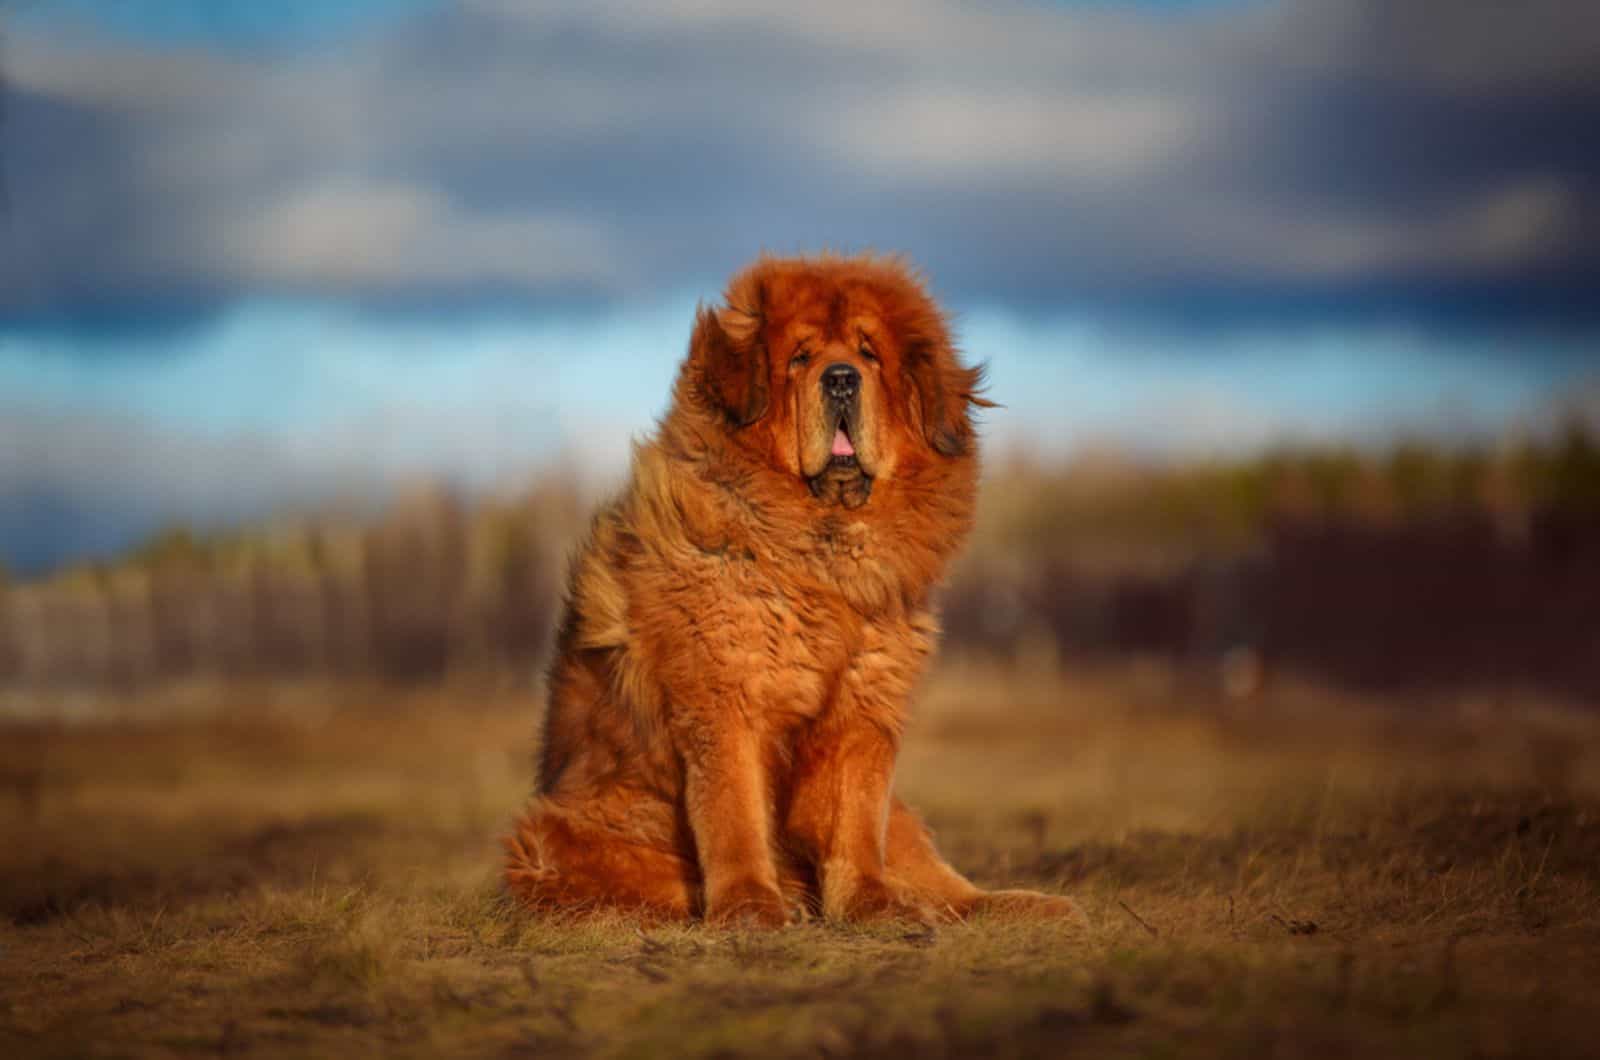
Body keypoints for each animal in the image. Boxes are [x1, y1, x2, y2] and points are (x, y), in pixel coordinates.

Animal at [505, 256, 1081, 928]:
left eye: (868, 354)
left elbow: (854, 821)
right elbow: (735, 816)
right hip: (558, 834)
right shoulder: (726, 702)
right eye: (801, 358)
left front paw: (871, 905)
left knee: (944, 883)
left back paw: (1025, 904)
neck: (820, 558)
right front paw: (751, 907)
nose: (841, 379)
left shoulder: (863, 711)